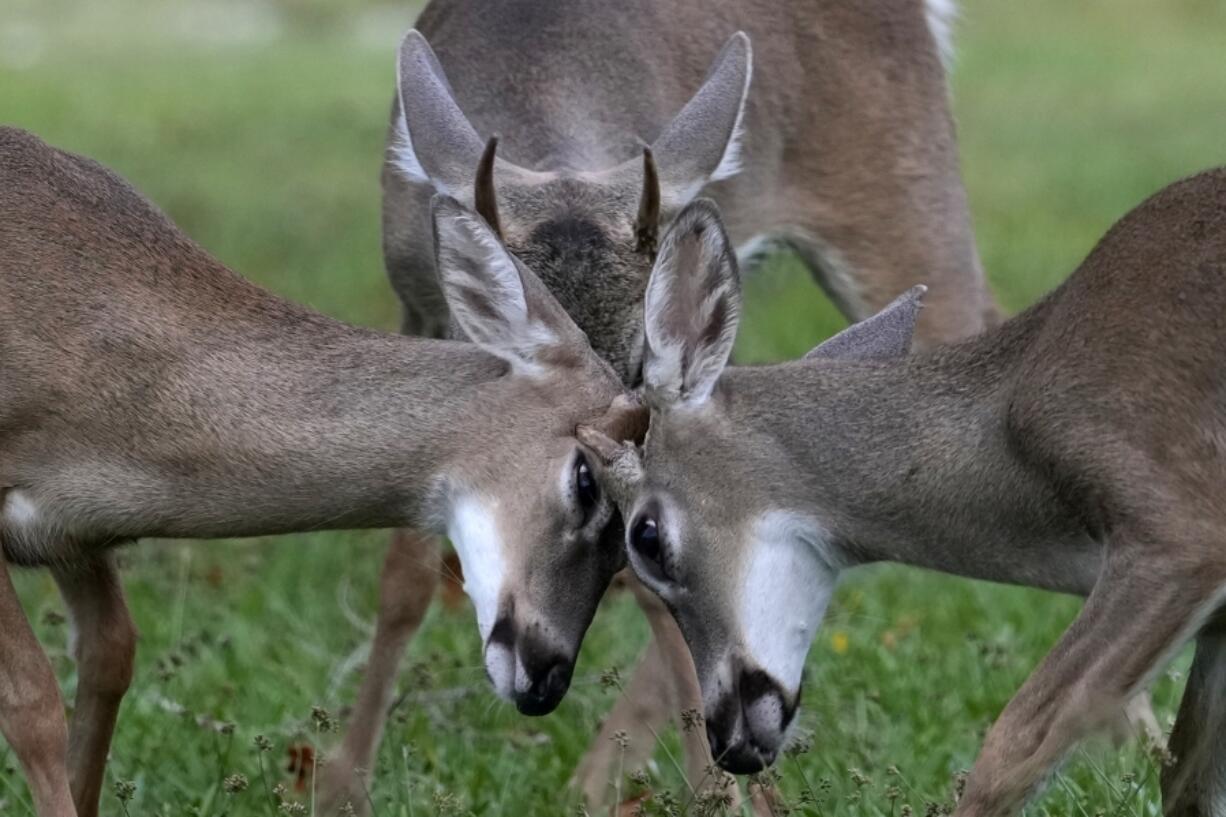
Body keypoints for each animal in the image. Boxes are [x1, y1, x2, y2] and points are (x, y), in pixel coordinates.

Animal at [326, 0, 995, 799]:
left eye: (634, 368)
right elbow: (404, 573)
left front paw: (715, 789)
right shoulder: (415, 304)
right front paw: (341, 784)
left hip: (904, 190)